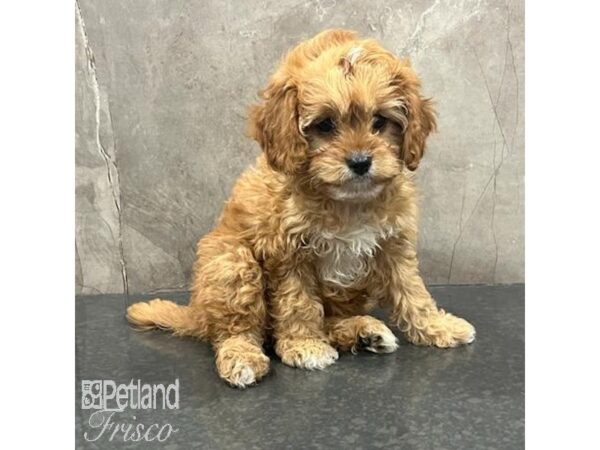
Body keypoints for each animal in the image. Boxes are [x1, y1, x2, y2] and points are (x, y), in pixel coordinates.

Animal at [126, 29, 474, 386]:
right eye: (325, 125)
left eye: (379, 121)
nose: (360, 162)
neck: (347, 202)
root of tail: (197, 312)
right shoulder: (288, 253)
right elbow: (298, 303)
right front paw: (304, 345)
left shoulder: (393, 245)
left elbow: (412, 291)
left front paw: (436, 326)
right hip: (231, 262)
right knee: (234, 330)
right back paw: (242, 356)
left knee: (328, 319)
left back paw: (362, 331)